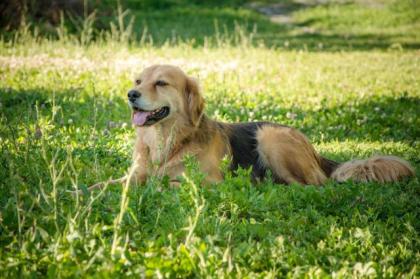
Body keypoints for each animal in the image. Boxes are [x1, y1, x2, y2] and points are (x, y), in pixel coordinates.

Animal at [85, 65, 414, 192]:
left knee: (313, 185)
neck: (168, 141)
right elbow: (105, 184)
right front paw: (80, 192)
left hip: (270, 137)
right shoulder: (133, 175)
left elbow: (169, 183)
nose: (131, 94)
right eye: (139, 81)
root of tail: (315, 151)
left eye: (161, 83)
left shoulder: (211, 182)